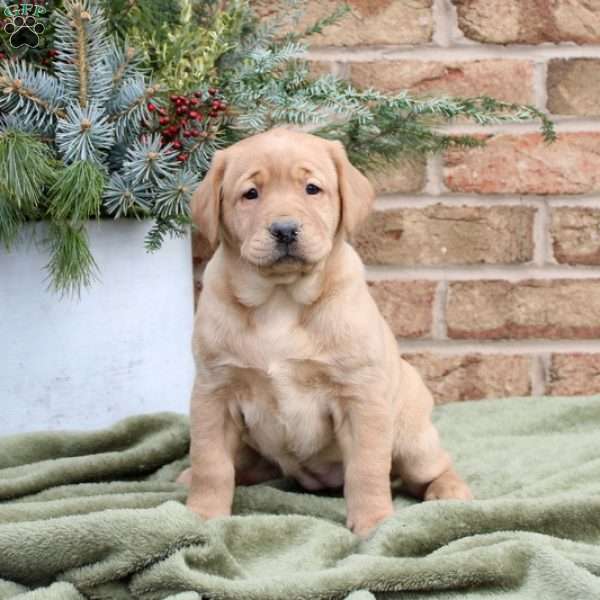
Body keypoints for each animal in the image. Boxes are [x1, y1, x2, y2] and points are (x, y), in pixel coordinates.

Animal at [179, 127, 474, 540]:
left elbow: (366, 468)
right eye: (251, 194)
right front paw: (203, 514)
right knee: (242, 465)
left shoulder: (359, 397)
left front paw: (373, 521)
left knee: (432, 466)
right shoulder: (214, 394)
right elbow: (212, 462)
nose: (285, 229)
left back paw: (450, 490)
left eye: (312, 189)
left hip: (412, 440)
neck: (280, 299)